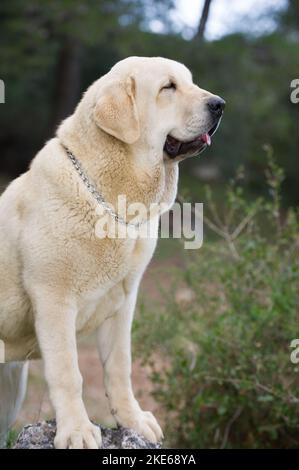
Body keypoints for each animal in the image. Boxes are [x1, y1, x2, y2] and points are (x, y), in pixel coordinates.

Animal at [0, 57, 225, 450]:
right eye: (168, 87)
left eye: (190, 82)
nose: (219, 105)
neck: (112, 201)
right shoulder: (54, 300)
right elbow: (68, 373)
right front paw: (76, 430)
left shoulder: (122, 303)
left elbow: (120, 367)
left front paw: (132, 420)